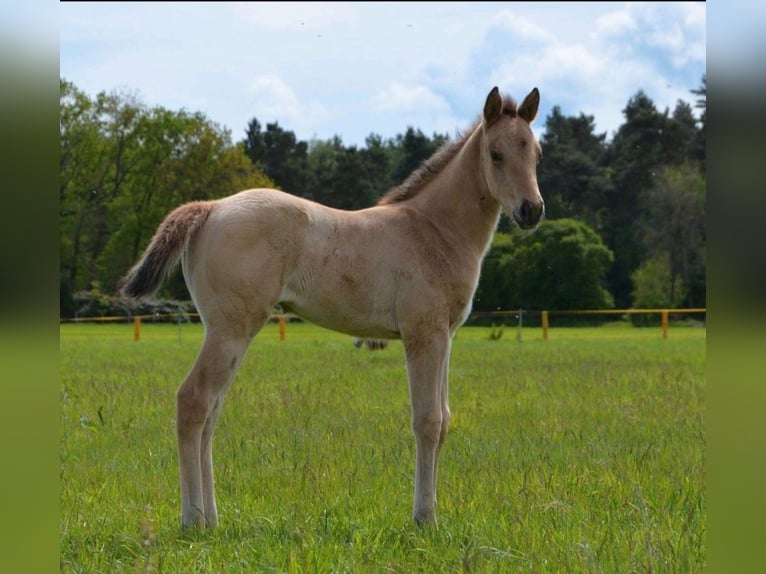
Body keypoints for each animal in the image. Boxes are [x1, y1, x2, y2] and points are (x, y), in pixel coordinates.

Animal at [119, 86, 544, 529]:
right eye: (495, 154)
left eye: (537, 153)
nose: (532, 210)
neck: (434, 230)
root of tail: (210, 207)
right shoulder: (423, 335)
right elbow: (427, 421)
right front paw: (425, 519)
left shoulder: (445, 337)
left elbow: (444, 420)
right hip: (231, 330)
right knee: (193, 402)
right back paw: (193, 519)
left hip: (226, 332)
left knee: (210, 412)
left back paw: (212, 520)